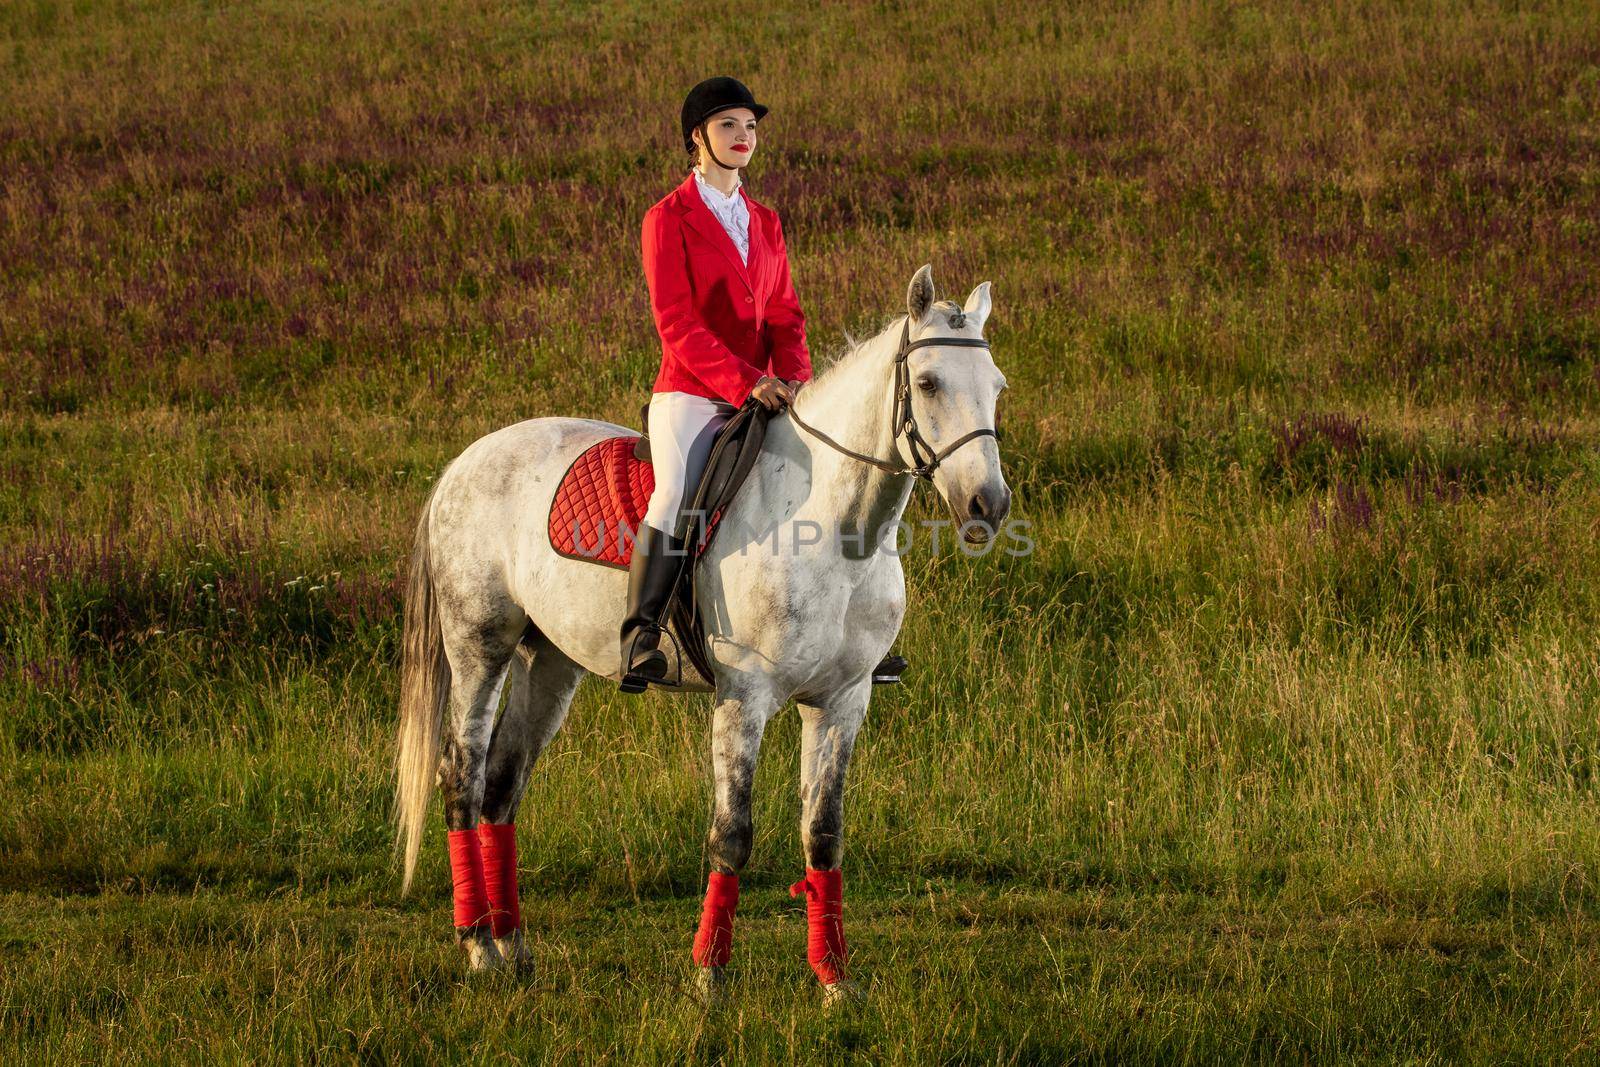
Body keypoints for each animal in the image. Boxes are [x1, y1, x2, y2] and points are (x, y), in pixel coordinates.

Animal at [392, 265, 1004, 1004]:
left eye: (997, 385)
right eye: (930, 383)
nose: (989, 504)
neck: (839, 533)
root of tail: (465, 461)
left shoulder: (843, 700)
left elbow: (823, 835)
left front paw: (835, 979)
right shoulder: (745, 696)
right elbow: (731, 834)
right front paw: (710, 975)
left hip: (550, 663)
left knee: (503, 783)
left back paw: (513, 945)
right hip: (480, 646)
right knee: (462, 773)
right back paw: (479, 945)